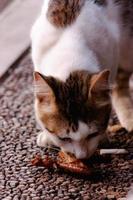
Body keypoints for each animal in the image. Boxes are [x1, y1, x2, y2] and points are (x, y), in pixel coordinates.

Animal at [30, 0, 133, 159]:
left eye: (92, 134)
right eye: (64, 138)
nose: (82, 157)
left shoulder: (113, 52)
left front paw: (103, 136)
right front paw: (47, 137)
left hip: (127, 48)